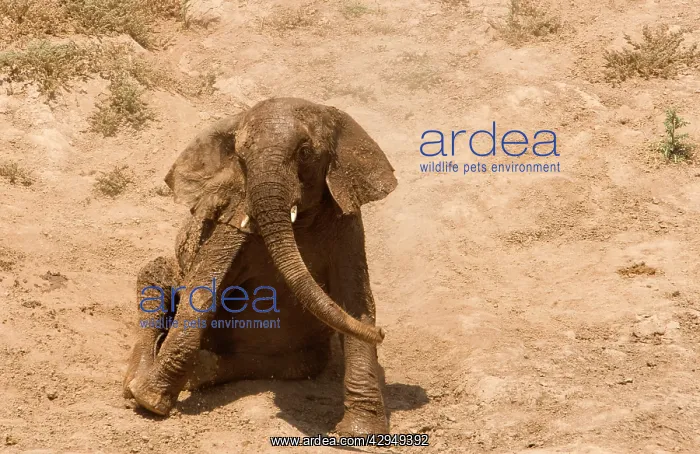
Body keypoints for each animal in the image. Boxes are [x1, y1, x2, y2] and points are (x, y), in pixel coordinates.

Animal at [122, 97, 398, 435]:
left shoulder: (348, 222)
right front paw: (150, 402)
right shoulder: (235, 211)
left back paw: (199, 373)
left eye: (304, 153)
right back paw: (135, 385)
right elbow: (203, 288)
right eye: (241, 158)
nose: (382, 333)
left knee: (301, 363)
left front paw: (361, 434)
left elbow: (354, 301)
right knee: (155, 273)